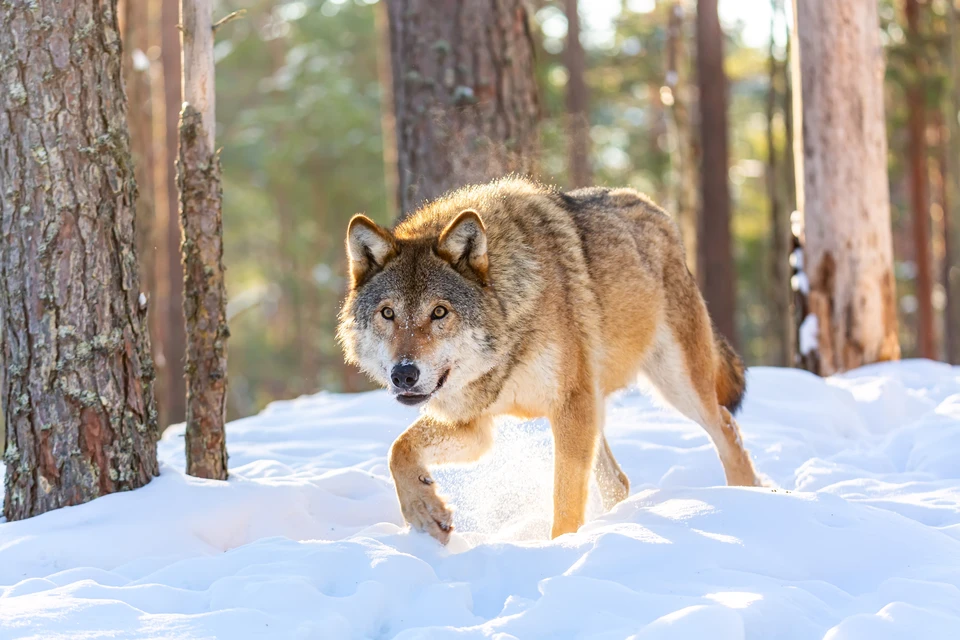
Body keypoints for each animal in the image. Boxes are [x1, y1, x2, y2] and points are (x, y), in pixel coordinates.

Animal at [338, 176, 764, 544]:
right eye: (388, 313)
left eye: (439, 312)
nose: (404, 375)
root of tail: (655, 208)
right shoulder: (474, 425)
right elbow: (398, 450)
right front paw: (425, 512)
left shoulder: (569, 406)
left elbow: (565, 499)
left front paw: (560, 549)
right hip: (600, 406)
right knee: (618, 482)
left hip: (674, 385)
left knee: (726, 429)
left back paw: (749, 503)